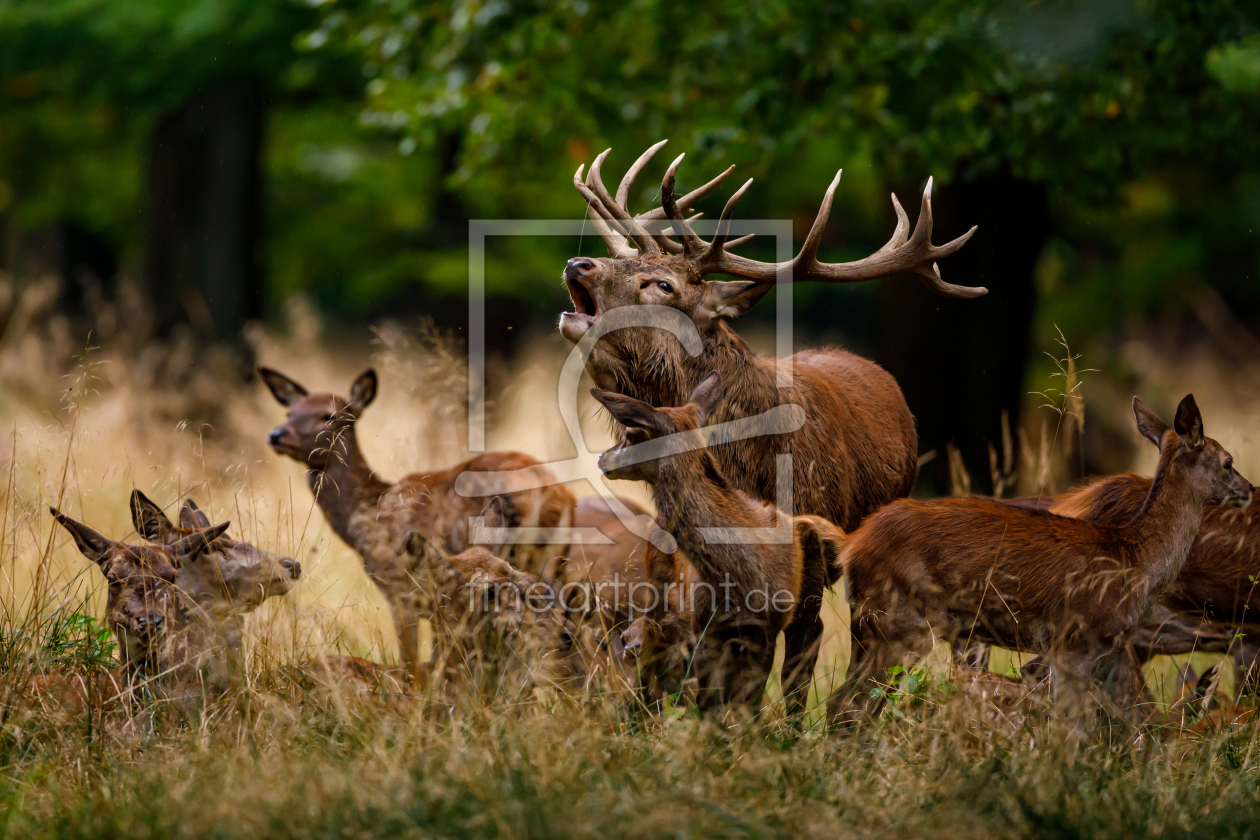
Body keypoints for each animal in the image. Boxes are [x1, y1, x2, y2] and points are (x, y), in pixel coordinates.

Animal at [260, 367, 577, 685]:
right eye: (289, 412)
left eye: (329, 415)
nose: (276, 435)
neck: (367, 514)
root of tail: (561, 496)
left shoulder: (400, 591)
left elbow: (410, 661)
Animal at [594, 370, 841, 715]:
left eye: (632, 432)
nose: (602, 458)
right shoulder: (704, 629)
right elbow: (709, 704)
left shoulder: (766, 629)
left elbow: (746, 705)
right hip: (661, 597)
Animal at [831, 395, 1254, 725]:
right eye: (1228, 461)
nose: (1250, 488)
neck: (1136, 559)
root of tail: (850, 544)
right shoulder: (1075, 643)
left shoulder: (1110, 649)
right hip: (898, 624)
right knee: (849, 706)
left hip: (872, 628)